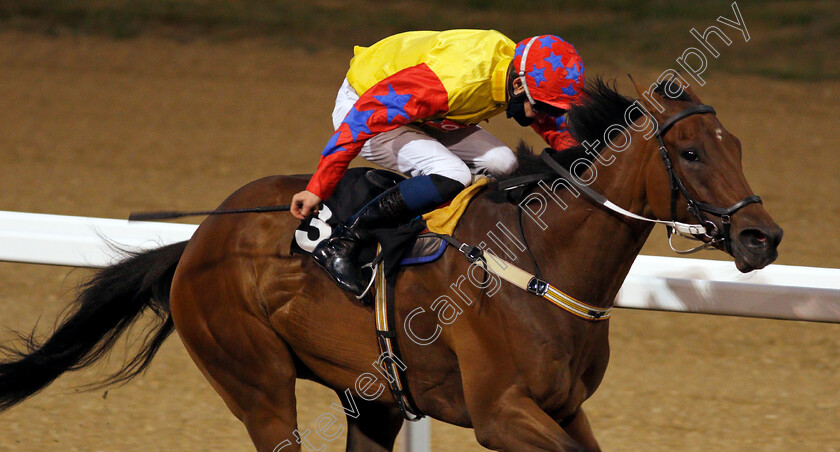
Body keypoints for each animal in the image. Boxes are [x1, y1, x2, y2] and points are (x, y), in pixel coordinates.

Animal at [0, 79, 780, 450]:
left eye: (738, 144)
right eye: (690, 152)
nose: (762, 237)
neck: (541, 262)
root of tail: (193, 246)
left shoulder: (564, 408)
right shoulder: (502, 414)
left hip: (369, 396)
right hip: (255, 381)